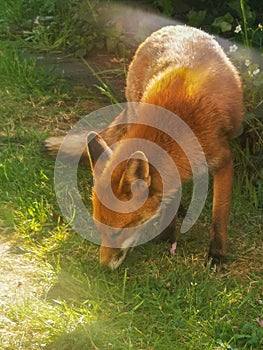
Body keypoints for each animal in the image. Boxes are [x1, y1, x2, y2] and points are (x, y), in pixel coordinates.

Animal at [46, 26, 245, 270]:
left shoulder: (223, 160)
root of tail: (174, 27)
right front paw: (168, 236)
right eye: (100, 230)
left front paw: (217, 254)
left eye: (118, 232)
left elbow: (220, 216)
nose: (103, 267)